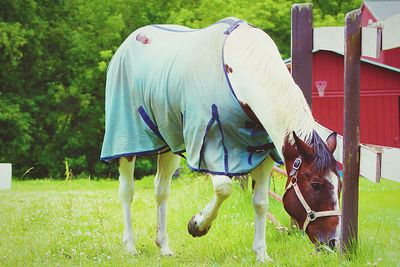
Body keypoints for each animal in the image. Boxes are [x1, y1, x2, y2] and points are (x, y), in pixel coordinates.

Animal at [100, 17, 340, 264]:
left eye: (339, 185)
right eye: (316, 184)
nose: (331, 242)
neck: (240, 75)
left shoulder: (263, 155)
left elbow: (261, 202)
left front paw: (261, 254)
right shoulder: (209, 146)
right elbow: (224, 188)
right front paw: (197, 225)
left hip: (168, 143)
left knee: (161, 189)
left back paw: (164, 246)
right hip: (126, 141)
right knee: (127, 190)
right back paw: (130, 246)